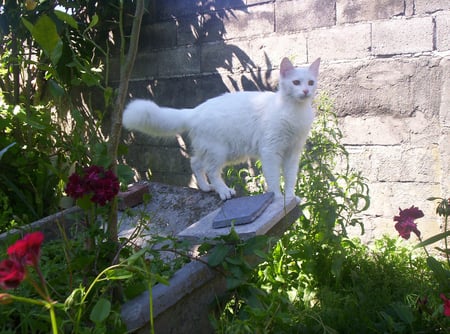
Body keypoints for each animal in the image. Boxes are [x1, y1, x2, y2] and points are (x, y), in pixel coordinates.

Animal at [123, 56, 320, 201]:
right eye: (296, 82)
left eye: (310, 83)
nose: (305, 91)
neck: (294, 111)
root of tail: (195, 110)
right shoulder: (270, 151)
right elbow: (273, 179)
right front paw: (279, 199)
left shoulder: (292, 153)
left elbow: (290, 178)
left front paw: (291, 197)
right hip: (219, 151)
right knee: (211, 171)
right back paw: (224, 191)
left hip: (217, 151)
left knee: (195, 163)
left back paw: (205, 187)